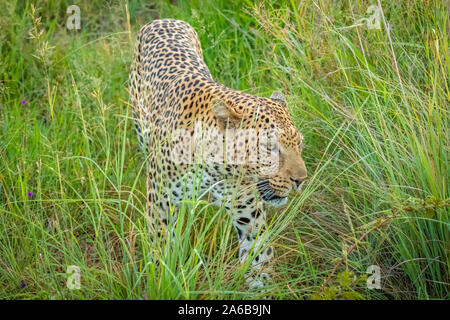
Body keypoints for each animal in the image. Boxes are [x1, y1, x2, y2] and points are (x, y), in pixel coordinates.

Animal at [128, 18, 308, 292]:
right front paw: (160, 283)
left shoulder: (248, 213)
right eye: (269, 146)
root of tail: (163, 19)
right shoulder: (160, 205)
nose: (301, 180)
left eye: (299, 143)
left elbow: (259, 258)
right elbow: (161, 251)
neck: (215, 168)